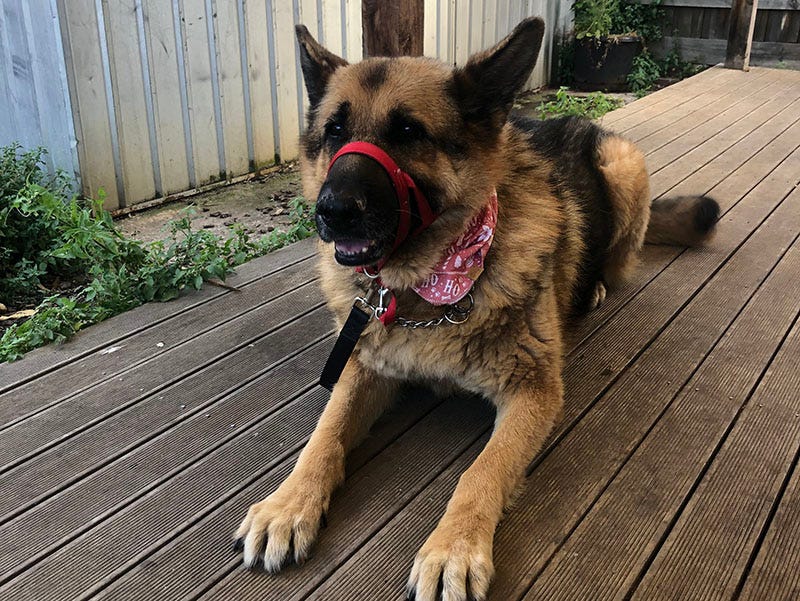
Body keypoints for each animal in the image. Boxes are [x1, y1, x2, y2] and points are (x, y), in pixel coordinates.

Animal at [233, 16, 720, 596]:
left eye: (407, 132)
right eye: (334, 131)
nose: (330, 212)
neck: (425, 290)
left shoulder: (535, 393)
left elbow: (481, 472)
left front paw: (454, 548)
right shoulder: (363, 366)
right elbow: (323, 436)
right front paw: (287, 505)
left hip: (624, 167)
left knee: (620, 260)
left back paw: (596, 286)